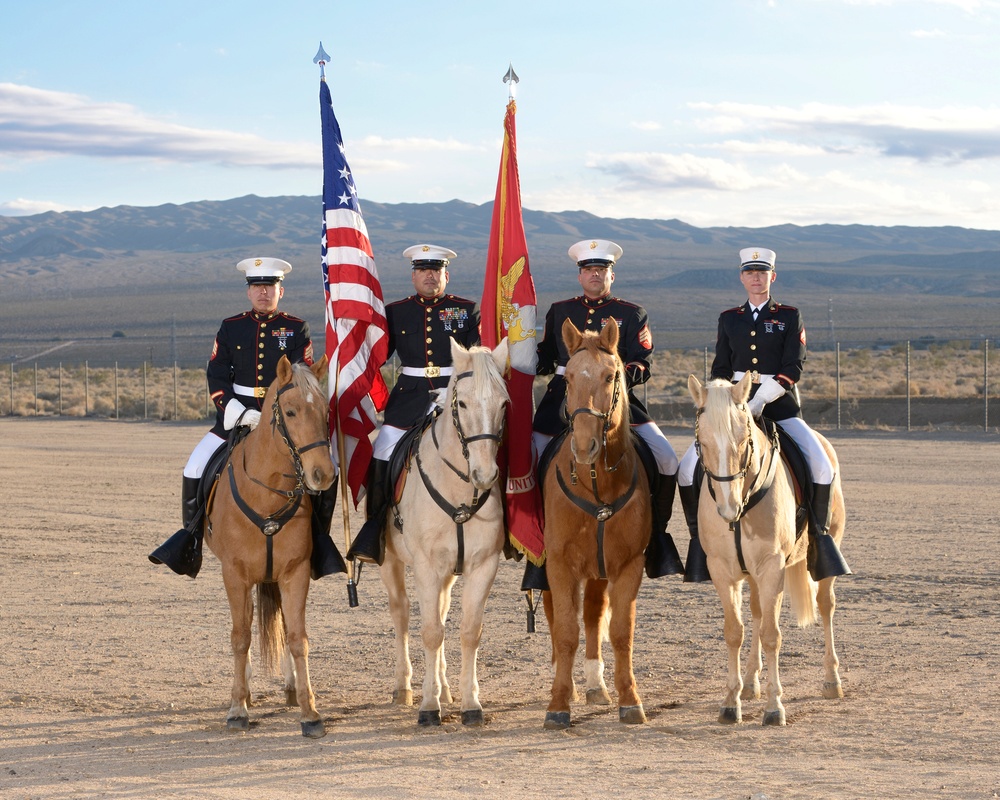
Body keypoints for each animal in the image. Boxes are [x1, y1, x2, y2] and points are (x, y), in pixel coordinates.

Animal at [205, 354, 334, 736]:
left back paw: (290, 687)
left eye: (326, 410)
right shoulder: (234, 575)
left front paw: (310, 710)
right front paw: (237, 708)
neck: (266, 495)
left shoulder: (295, 572)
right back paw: (246, 692)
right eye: (290, 412)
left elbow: (297, 637)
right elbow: (240, 638)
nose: (323, 474)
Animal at [378, 338, 512, 724]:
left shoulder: (482, 565)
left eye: (503, 404)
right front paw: (428, 705)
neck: (459, 491)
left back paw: (445, 687)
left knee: (440, 609)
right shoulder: (425, 565)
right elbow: (430, 631)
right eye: (462, 402)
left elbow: (468, 631)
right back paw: (405, 687)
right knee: (402, 613)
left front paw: (470, 703)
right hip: (390, 561)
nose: (485, 474)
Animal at [544, 320, 652, 732]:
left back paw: (594, 685)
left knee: (592, 614)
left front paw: (630, 700)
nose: (584, 446)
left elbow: (621, 632)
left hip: (598, 569)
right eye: (568, 377)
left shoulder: (627, 565)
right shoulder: (558, 563)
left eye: (610, 376)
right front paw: (558, 703)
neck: (595, 484)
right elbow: (564, 631)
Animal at [692, 374, 848, 724]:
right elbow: (734, 631)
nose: (728, 508)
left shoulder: (772, 566)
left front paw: (775, 706)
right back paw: (751, 682)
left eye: (744, 440)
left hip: (826, 551)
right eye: (701, 442)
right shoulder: (722, 569)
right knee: (757, 612)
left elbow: (772, 634)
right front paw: (731, 701)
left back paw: (832, 680)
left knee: (825, 604)